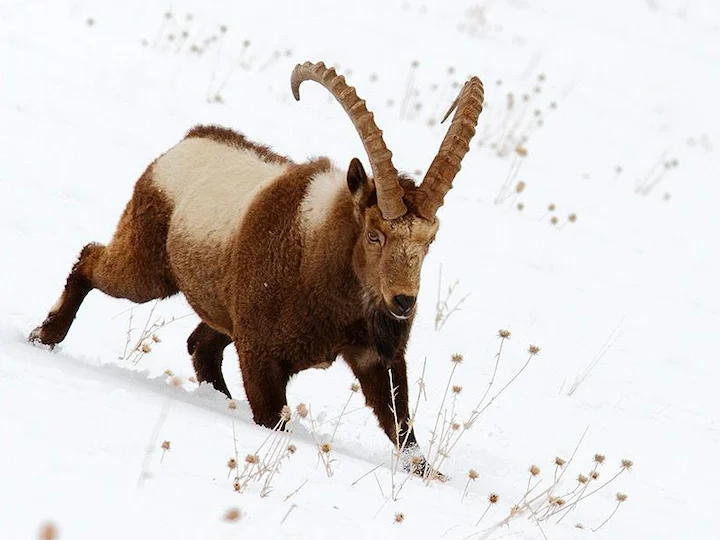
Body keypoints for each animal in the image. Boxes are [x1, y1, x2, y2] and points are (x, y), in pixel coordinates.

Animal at [30, 61, 484, 467]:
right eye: (375, 234)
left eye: (429, 241)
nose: (403, 302)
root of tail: (186, 142)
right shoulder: (261, 353)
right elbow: (272, 417)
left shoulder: (377, 356)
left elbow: (402, 432)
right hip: (146, 269)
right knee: (91, 259)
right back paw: (45, 334)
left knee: (200, 344)